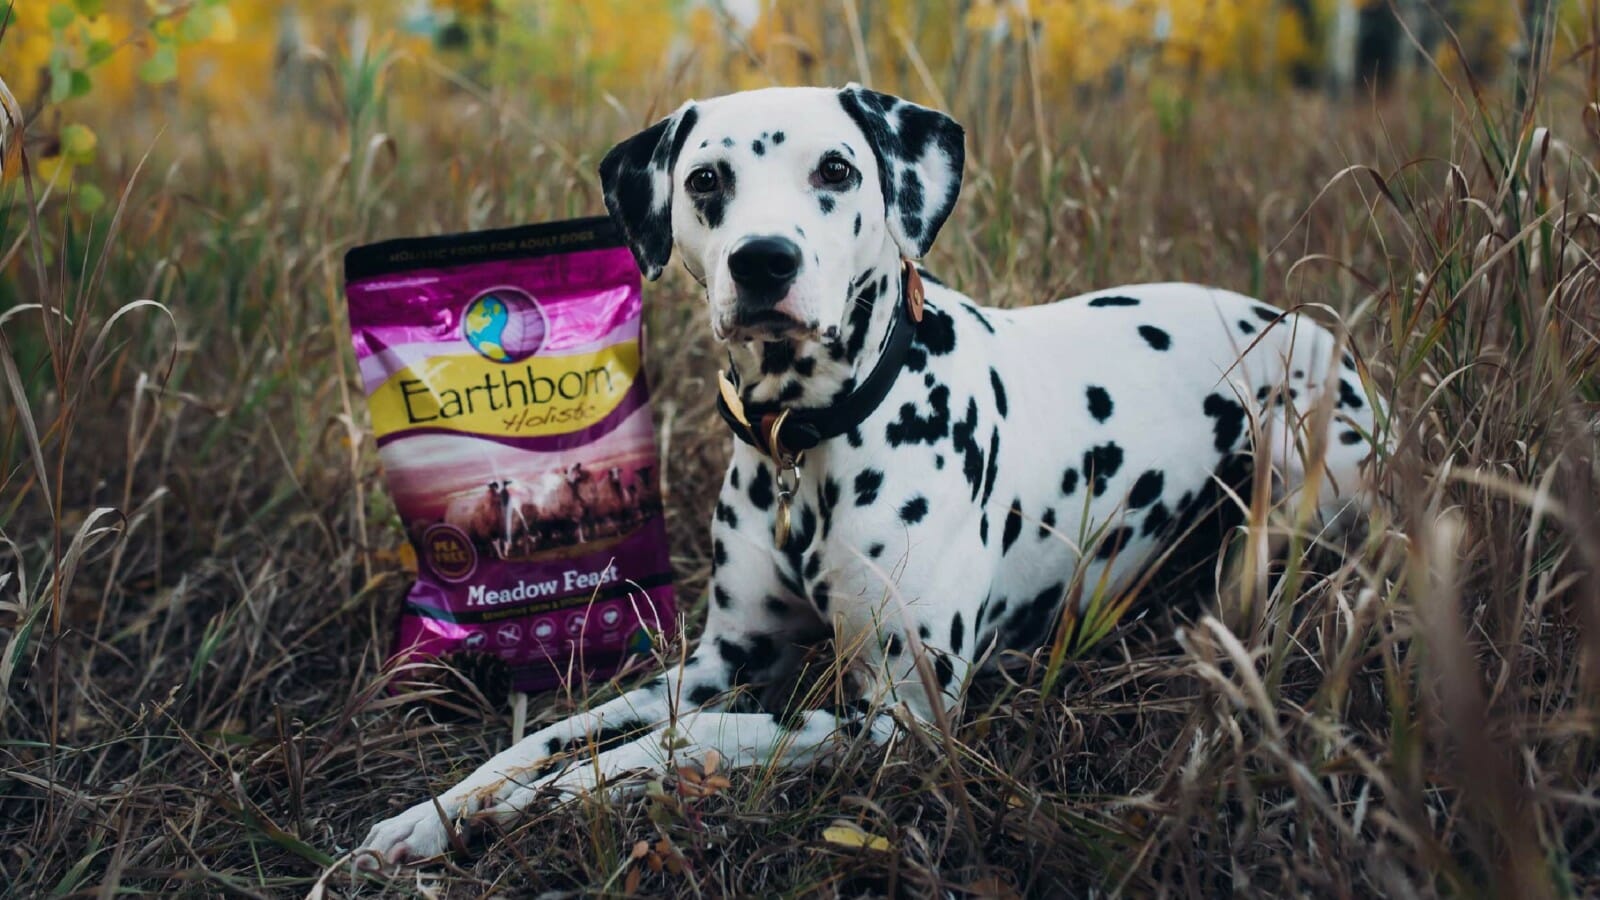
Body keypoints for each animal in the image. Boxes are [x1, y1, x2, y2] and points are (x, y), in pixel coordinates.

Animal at [356, 87, 1382, 864]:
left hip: (1294, 508)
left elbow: (692, 740)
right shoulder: (721, 660)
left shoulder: (896, 720)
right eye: (706, 179)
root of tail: (1310, 327)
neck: (808, 437)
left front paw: (565, 792)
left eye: (838, 170)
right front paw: (432, 814)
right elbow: (552, 732)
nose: (764, 261)